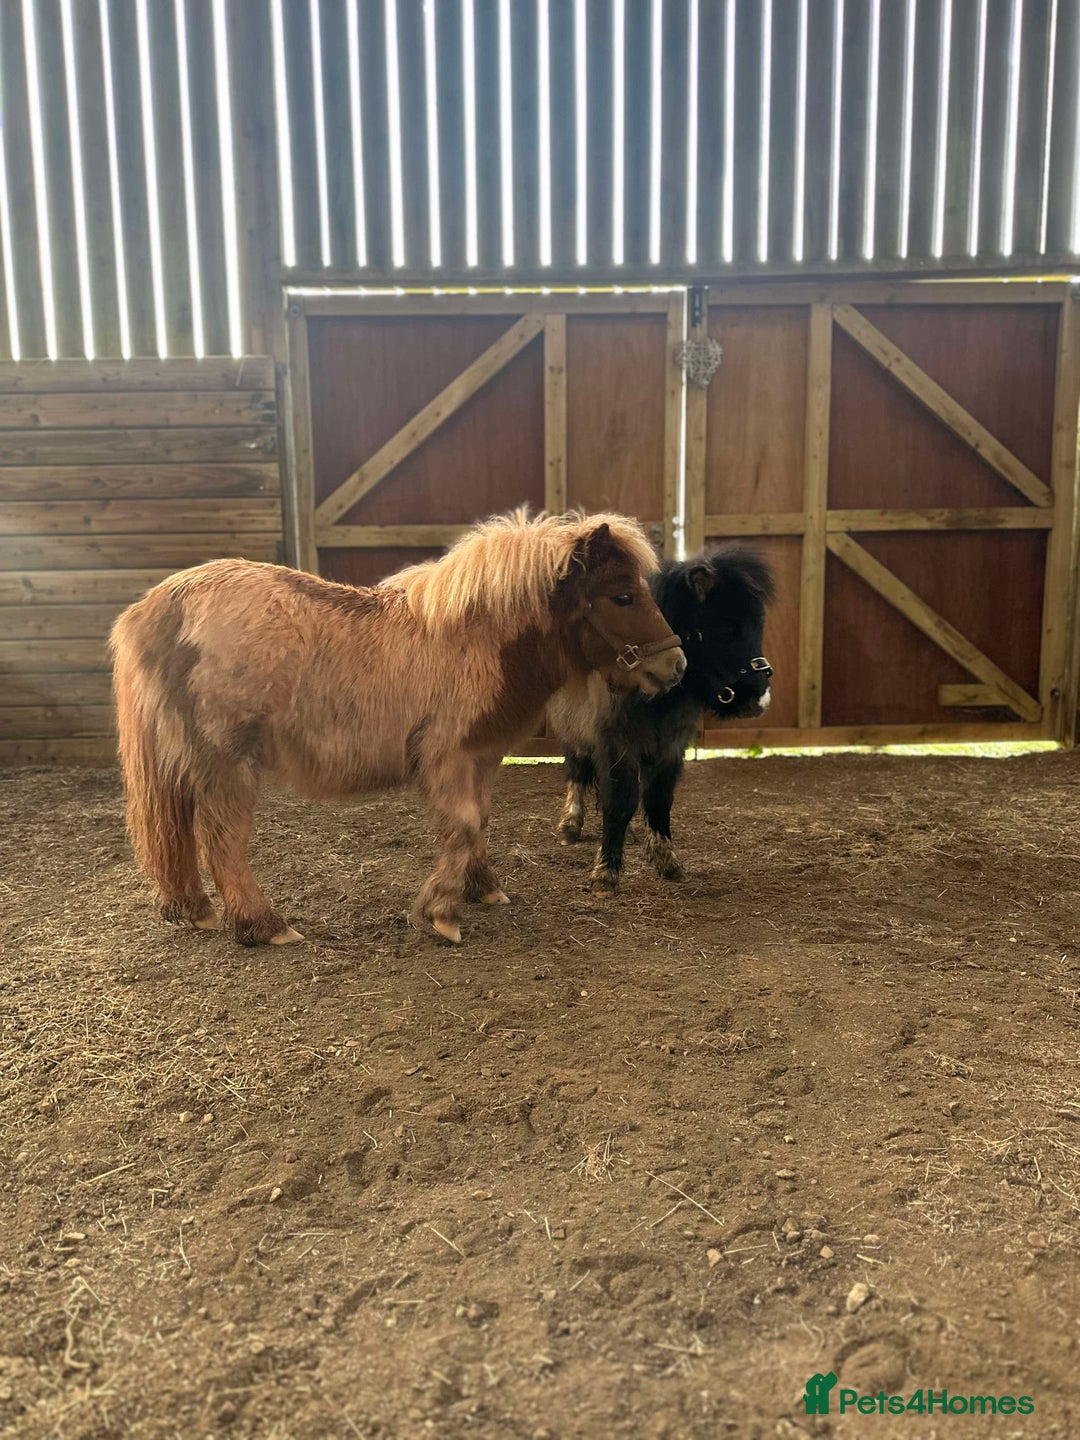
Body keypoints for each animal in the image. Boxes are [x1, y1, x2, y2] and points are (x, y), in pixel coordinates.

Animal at [110, 509, 686, 946]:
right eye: (623, 597)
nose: (676, 666)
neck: (473, 640)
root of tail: (159, 605)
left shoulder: (482, 756)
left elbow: (479, 822)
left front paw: (482, 888)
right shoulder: (448, 755)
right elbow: (464, 824)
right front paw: (442, 913)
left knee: (176, 831)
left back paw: (194, 908)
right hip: (227, 761)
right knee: (221, 840)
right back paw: (264, 926)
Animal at [547, 545, 774, 893]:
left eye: (757, 626)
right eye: (724, 628)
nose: (758, 698)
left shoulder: (670, 745)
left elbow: (657, 799)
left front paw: (666, 859)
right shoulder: (616, 743)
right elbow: (619, 800)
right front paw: (606, 872)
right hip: (573, 731)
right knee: (577, 770)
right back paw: (570, 824)